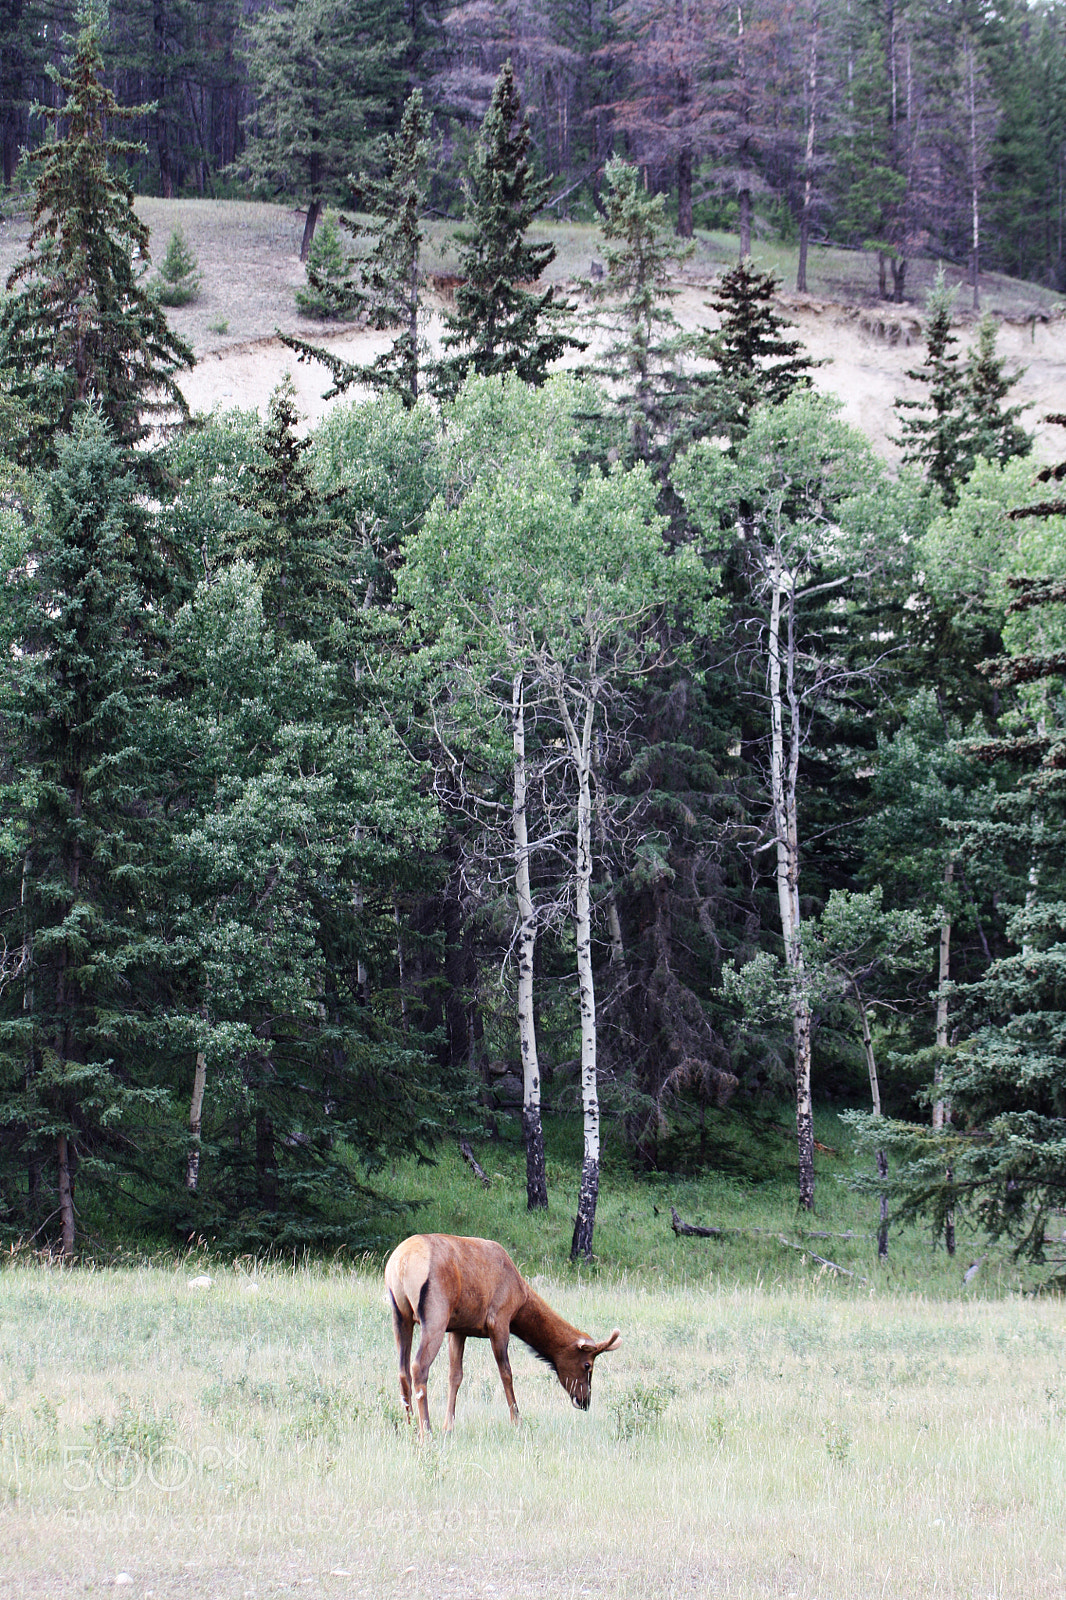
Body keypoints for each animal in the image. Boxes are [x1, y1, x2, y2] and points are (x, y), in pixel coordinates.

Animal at [384, 1233, 621, 1435]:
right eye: (588, 1365)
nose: (585, 1401)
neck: (521, 1299)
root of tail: (401, 1264)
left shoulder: (459, 1328)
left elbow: (455, 1375)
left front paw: (448, 1426)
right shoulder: (499, 1320)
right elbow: (506, 1373)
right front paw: (517, 1421)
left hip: (400, 1316)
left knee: (402, 1370)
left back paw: (410, 1426)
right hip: (436, 1315)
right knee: (418, 1367)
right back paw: (426, 1431)